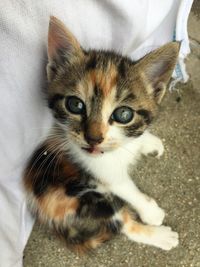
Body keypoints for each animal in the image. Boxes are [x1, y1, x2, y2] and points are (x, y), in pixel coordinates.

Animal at [23, 16, 180, 253]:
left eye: (123, 114)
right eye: (75, 105)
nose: (94, 138)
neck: (115, 150)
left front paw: (149, 142)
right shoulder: (103, 174)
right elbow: (127, 188)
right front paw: (151, 211)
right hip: (87, 198)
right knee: (122, 224)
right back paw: (162, 236)